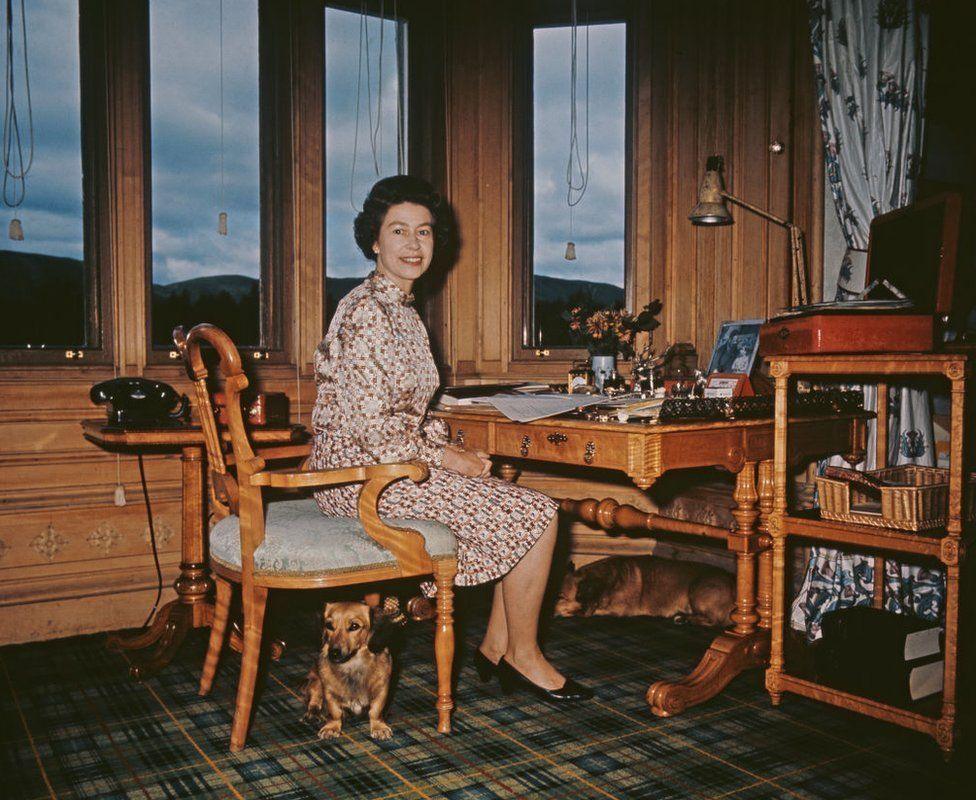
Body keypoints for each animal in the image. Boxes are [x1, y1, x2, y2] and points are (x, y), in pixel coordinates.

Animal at [300, 596, 402, 740]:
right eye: (329, 625)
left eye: (354, 626)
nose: (334, 653)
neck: (352, 666)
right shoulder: (329, 692)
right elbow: (335, 712)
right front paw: (332, 727)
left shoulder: (381, 690)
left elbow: (375, 711)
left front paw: (379, 727)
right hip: (316, 680)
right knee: (315, 698)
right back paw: (313, 714)